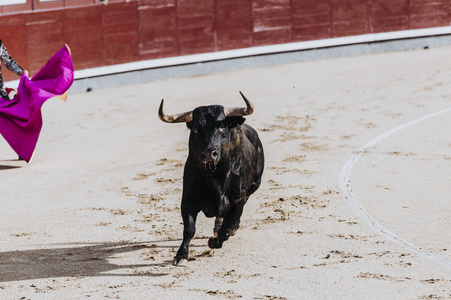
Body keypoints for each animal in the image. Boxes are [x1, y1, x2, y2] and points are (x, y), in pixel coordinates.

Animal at [159, 92, 264, 264]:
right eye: (196, 129)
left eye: (221, 126)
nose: (209, 154)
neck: (216, 178)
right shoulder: (188, 199)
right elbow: (189, 228)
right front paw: (181, 255)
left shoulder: (239, 198)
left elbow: (230, 223)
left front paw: (215, 241)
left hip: (254, 186)